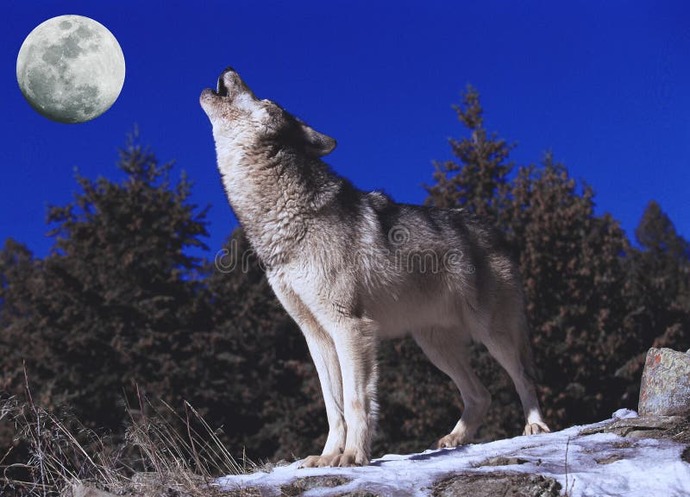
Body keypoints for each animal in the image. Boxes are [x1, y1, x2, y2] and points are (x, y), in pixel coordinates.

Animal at [200, 68, 550, 467]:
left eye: (266, 100)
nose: (229, 69)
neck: (286, 219)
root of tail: (496, 231)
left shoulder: (351, 328)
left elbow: (355, 401)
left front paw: (353, 456)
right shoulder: (316, 337)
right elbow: (333, 407)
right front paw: (326, 457)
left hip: (492, 334)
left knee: (524, 376)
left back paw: (535, 426)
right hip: (434, 346)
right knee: (481, 395)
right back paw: (454, 439)